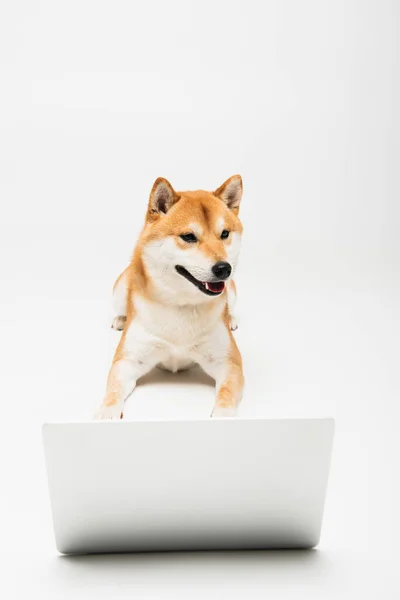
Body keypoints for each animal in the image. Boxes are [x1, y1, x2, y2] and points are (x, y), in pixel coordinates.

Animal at [94, 173, 244, 420]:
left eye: (224, 234)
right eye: (189, 237)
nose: (224, 268)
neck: (181, 305)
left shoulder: (228, 361)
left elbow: (226, 393)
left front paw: (223, 416)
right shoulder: (128, 360)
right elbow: (113, 390)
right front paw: (107, 413)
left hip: (231, 291)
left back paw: (231, 318)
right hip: (119, 290)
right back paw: (121, 319)